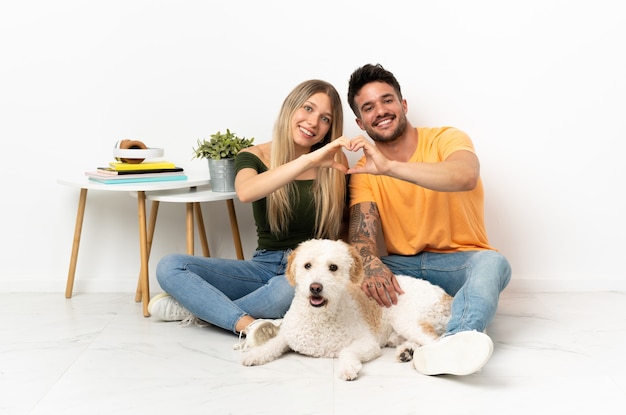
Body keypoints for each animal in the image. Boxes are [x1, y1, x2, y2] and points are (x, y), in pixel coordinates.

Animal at [239, 239, 448, 382]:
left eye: (333, 267)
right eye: (307, 265)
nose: (315, 287)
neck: (319, 319)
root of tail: (445, 295)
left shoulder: (368, 343)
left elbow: (347, 351)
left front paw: (347, 368)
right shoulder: (290, 335)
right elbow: (272, 344)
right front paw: (254, 355)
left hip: (406, 321)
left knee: (435, 341)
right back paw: (407, 352)